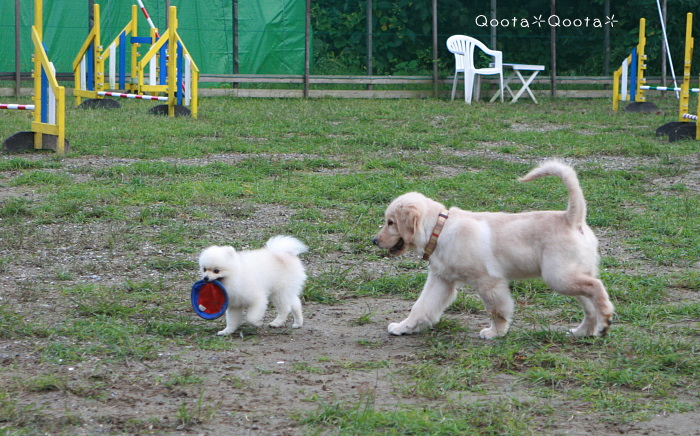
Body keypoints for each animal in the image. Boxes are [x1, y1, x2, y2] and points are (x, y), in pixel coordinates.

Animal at [372, 162, 612, 338]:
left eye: (390, 222)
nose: (374, 240)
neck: (439, 230)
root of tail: (571, 218)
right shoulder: (441, 280)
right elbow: (421, 306)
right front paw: (404, 327)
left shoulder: (489, 282)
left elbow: (497, 309)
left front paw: (495, 332)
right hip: (571, 274)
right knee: (589, 303)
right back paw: (584, 331)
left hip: (557, 276)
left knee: (596, 287)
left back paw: (605, 320)